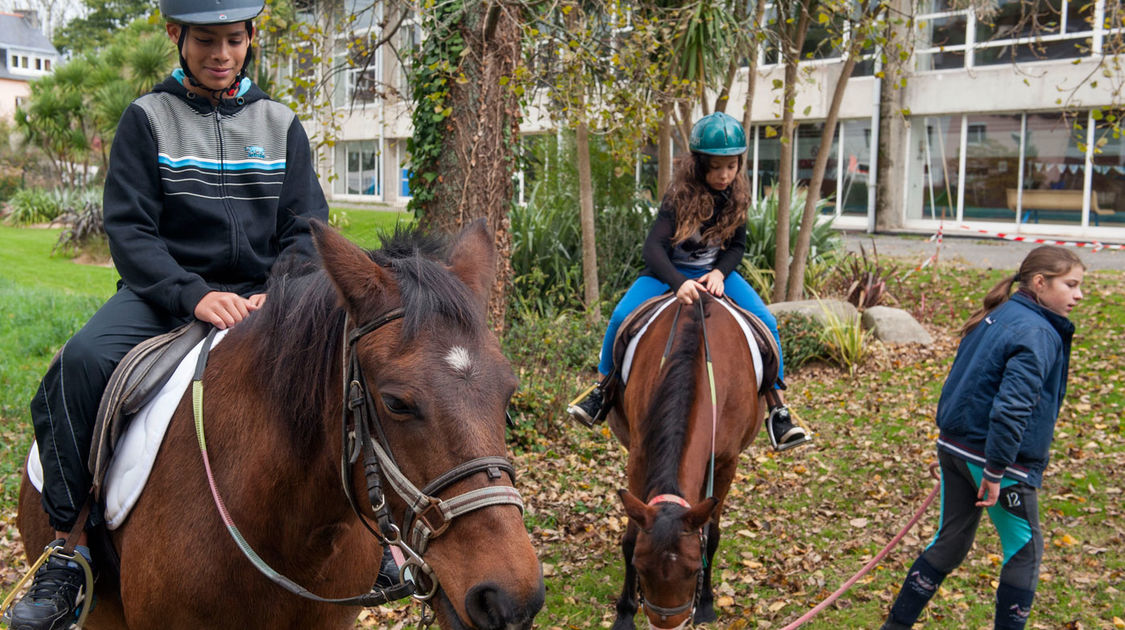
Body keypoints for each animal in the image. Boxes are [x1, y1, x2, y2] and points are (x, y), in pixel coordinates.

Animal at [607, 297, 765, 630]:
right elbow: (630, 537)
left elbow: (711, 536)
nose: (666, 625)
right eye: (641, 568)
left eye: (693, 571)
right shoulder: (639, 457)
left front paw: (705, 604)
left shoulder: (725, 463)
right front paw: (625, 612)